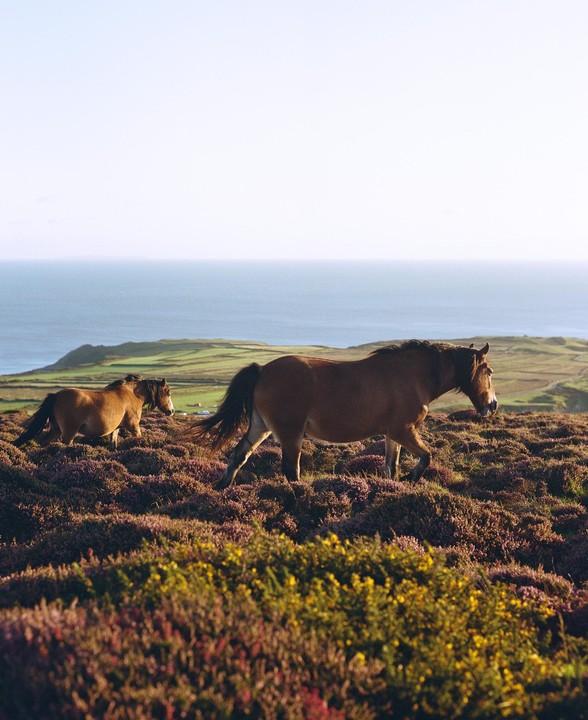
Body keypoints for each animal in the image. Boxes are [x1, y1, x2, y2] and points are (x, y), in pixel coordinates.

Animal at [14, 375, 174, 449]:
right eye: (168, 393)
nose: (171, 411)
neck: (133, 394)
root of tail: (56, 396)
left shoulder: (115, 429)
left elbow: (113, 445)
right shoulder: (134, 427)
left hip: (55, 429)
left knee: (44, 443)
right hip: (69, 433)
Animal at [189, 341, 497, 488]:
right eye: (490, 372)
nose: (492, 405)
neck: (415, 375)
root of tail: (263, 370)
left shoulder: (393, 434)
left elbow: (390, 466)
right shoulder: (405, 430)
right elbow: (426, 457)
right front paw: (411, 480)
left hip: (260, 426)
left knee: (239, 455)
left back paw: (222, 489)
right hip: (290, 434)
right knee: (290, 469)